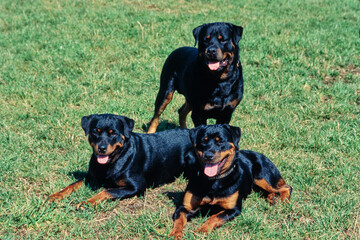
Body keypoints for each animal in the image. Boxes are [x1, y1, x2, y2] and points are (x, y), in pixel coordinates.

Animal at [48, 113, 195, 209]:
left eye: (113, 133)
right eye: (96, 132)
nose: (102, 148)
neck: (114, 160)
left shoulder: (136, 187)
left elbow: (107, 191)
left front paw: (87, 202)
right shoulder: (91, 176)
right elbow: (72, 185)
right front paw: (56, 195)